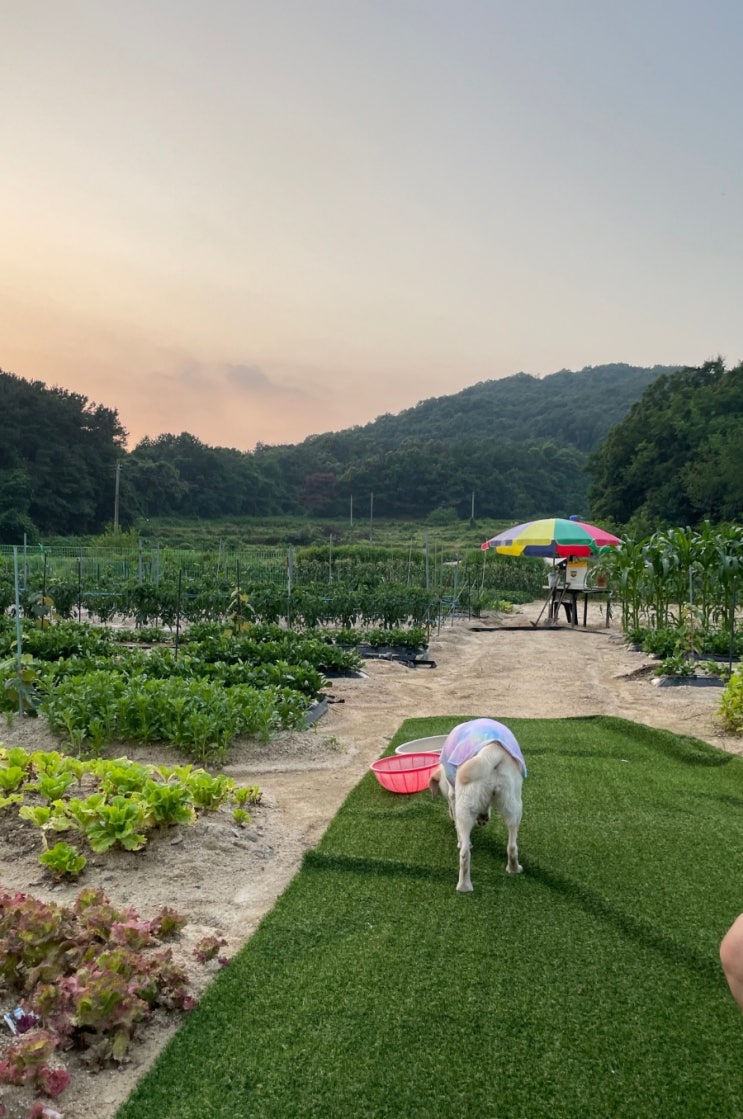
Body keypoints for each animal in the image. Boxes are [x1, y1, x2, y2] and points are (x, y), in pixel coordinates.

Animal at [427, 725, 525, 890]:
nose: (450, 814)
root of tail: (491, 751)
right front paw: (483, 816)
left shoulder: (453, 794)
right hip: (514, 805)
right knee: (512, 846)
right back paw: (513, 869)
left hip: (464, 807)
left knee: (464, 853)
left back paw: (463, 886)